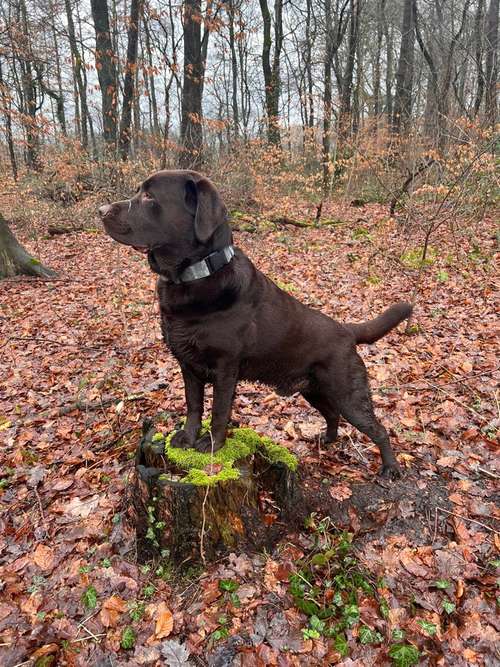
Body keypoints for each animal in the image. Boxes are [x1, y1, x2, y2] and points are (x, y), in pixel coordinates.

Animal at [99, 170, 412, 478]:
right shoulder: (188, 366)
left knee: (378, 429)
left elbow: (219, 411)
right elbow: (193, 406)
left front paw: (211, 445)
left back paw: (390, 468)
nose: (100, 211)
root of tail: (347, 330)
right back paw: (327, 439)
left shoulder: (226, 368)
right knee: (332, 414)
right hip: (314, 390)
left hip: (347, 393)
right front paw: (187, 438)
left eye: (149, 196)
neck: (195, 276)